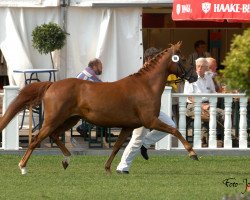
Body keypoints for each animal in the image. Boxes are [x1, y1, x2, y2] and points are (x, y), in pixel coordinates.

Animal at [0, 41, 198, 173]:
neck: (146, 86)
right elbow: (175, 131)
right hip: (54, 119)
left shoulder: (128, 126)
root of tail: (52, 85)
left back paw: (66, 160)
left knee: (55, 136)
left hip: (71, 120)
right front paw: (192, 153)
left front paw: (109, 168)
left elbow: (117, 146)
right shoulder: (150, 121)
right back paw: (23, 167)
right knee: (36, 139)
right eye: (183, 58)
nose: (195, 76)